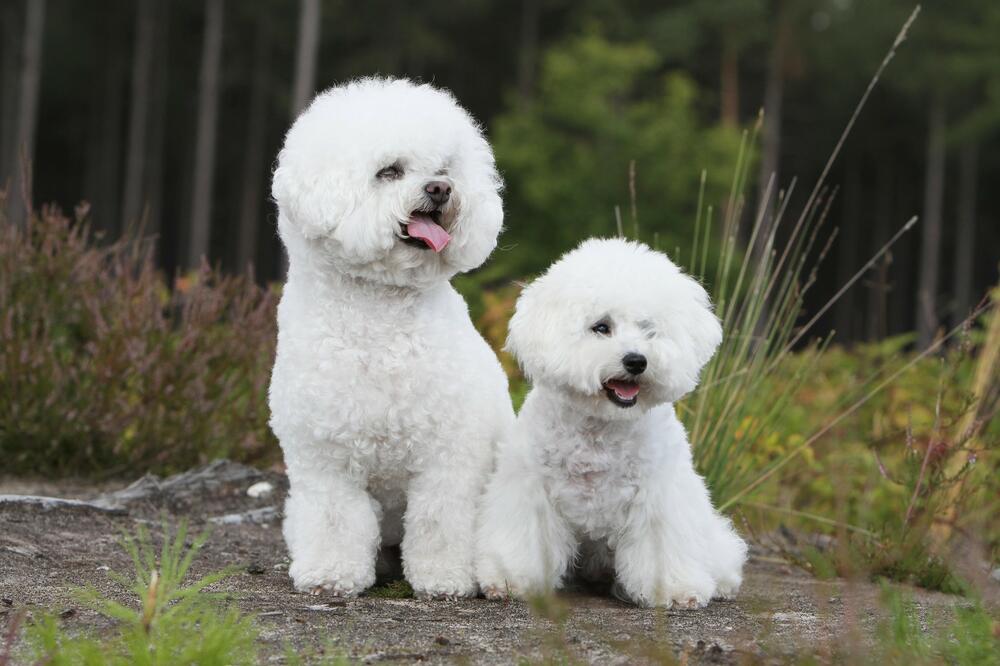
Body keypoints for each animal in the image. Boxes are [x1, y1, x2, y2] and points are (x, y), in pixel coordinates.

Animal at [270, 76, 512, 596]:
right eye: (390, 171)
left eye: (444, 169)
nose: (441, 189)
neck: (380, 316)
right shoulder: (326, 460)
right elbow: (335, 519)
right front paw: (331, 574)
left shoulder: (448, 456)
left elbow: (440, 519)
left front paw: (444, 578)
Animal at [474, 239, 744, 608]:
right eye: (601, 327)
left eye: (649, 329)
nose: (636, 361)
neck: (601, 426)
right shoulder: (529, 491)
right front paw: (510, 578)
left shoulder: (659, 496)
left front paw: (673, 589)